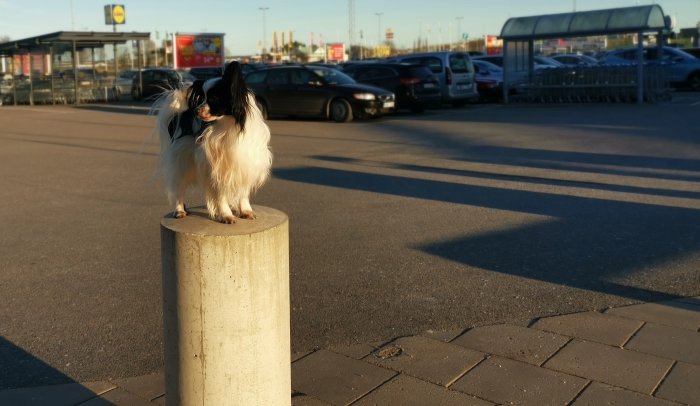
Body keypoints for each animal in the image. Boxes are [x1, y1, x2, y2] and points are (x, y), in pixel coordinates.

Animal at [153, 61, 270, 224]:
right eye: (201, 98)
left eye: (214, 98)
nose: (195, 111)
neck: (228, 126)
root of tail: (179, 115)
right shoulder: (216, 169)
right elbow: (220, 196)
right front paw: (226, 214)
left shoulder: (244, 166)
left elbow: (243, 192)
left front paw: (245, 211)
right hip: (181, 164)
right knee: (178, 189)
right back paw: (179, 210)